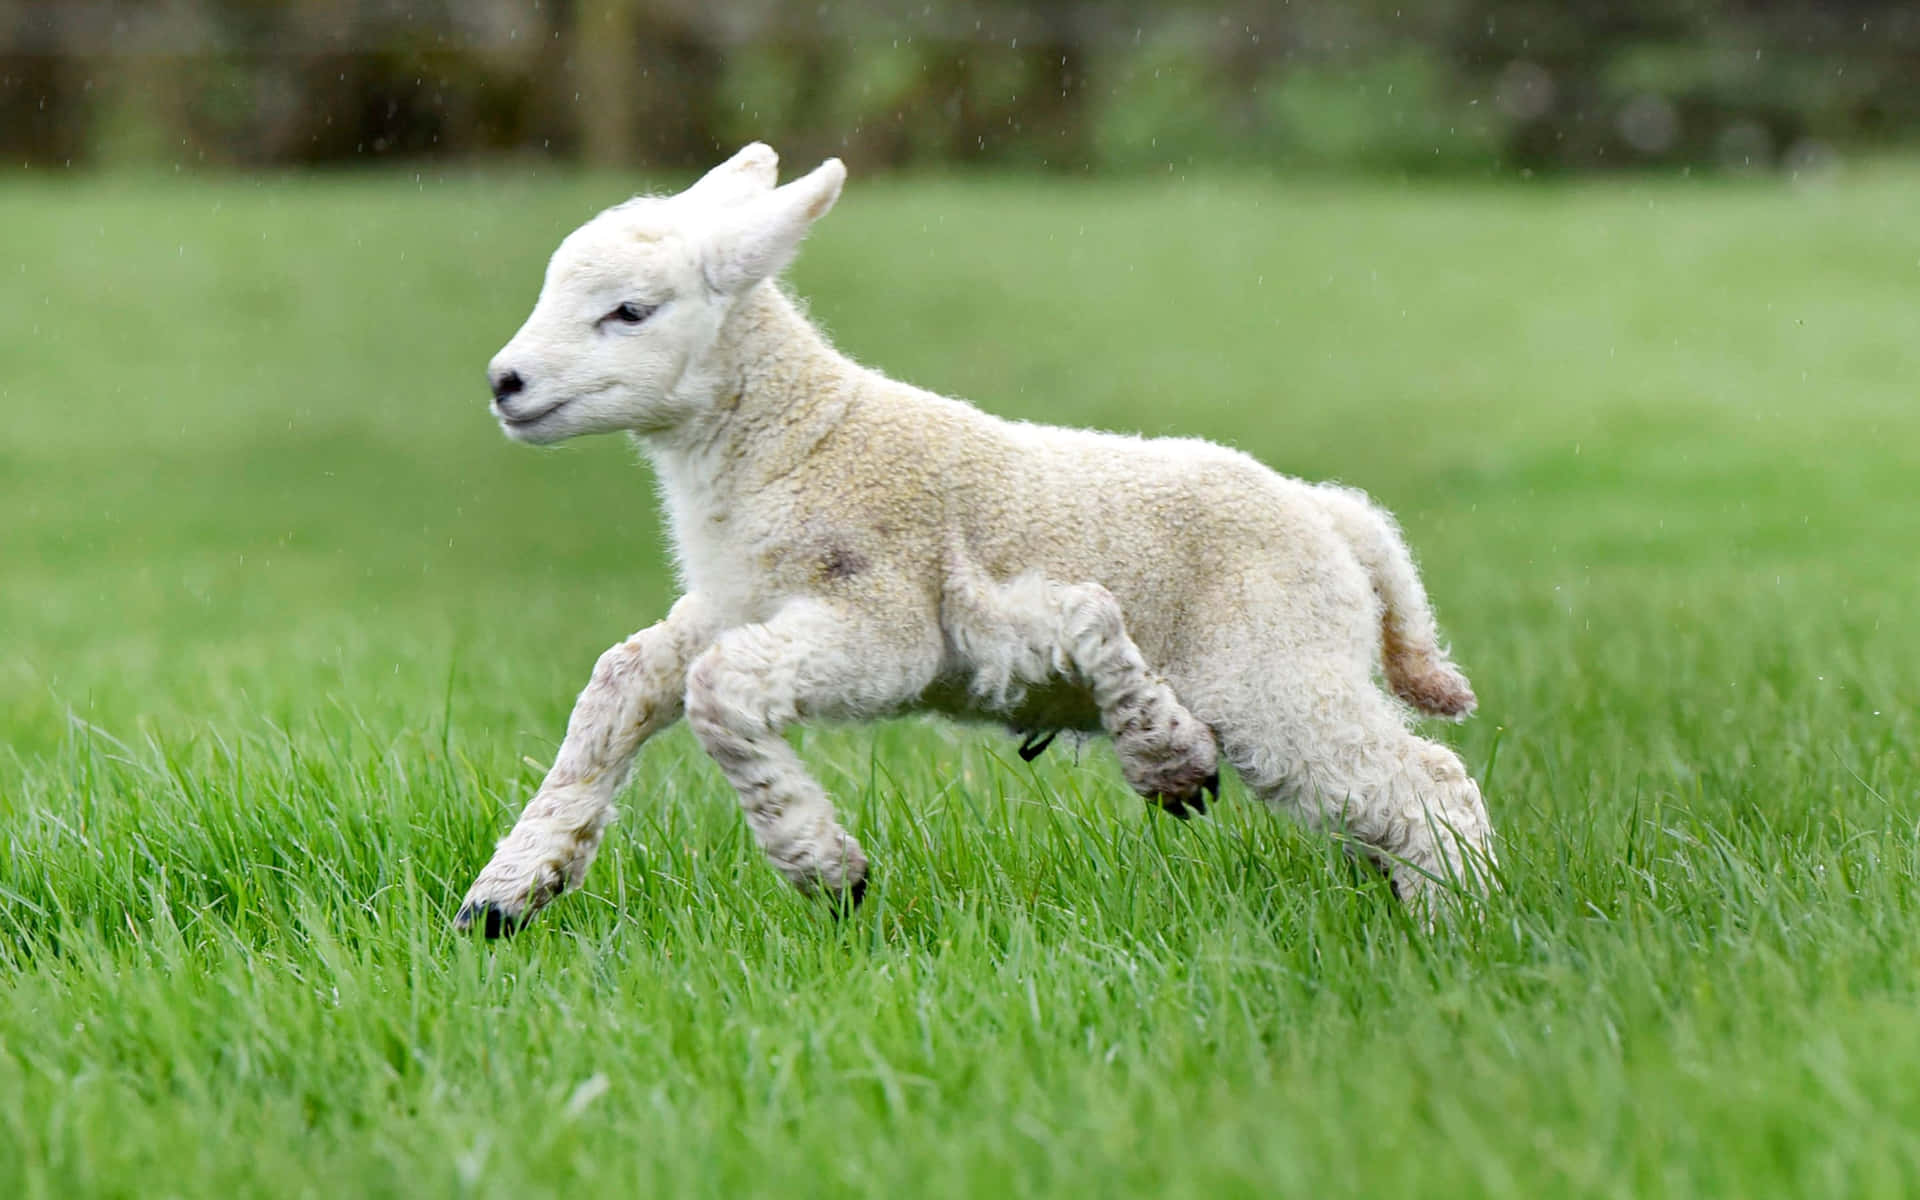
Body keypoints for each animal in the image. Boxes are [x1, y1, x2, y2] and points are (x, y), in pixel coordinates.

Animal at [453, 143, 1497, 936]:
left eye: (630, 311)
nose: (505, 383)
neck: (798, 438)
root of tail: (1334, 518)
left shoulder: (886, 623)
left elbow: (721, 693)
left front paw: (825, 868)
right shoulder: (735, 602)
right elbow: (621, 686)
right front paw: (508, 893)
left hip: (1276, 671)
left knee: (1429, 782)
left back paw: (1457, 936)